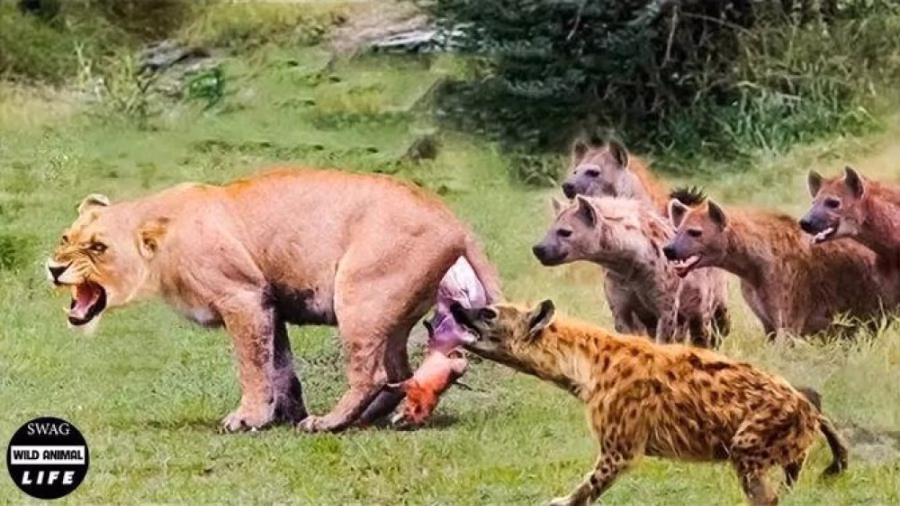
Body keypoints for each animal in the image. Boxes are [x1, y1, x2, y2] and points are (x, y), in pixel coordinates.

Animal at [46, 168, 502, 433]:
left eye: (98, 248)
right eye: (66, 238)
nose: (53, 267)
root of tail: (454, 220)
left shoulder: (243, 297)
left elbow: (252, 366)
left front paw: (248, 418)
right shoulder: (269, 304)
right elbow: (280, 367)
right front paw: (281, 415)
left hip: (359, 295)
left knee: (371, 373)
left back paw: (329, 423)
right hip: (390, 313)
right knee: (398, 371)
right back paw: (381, 417)